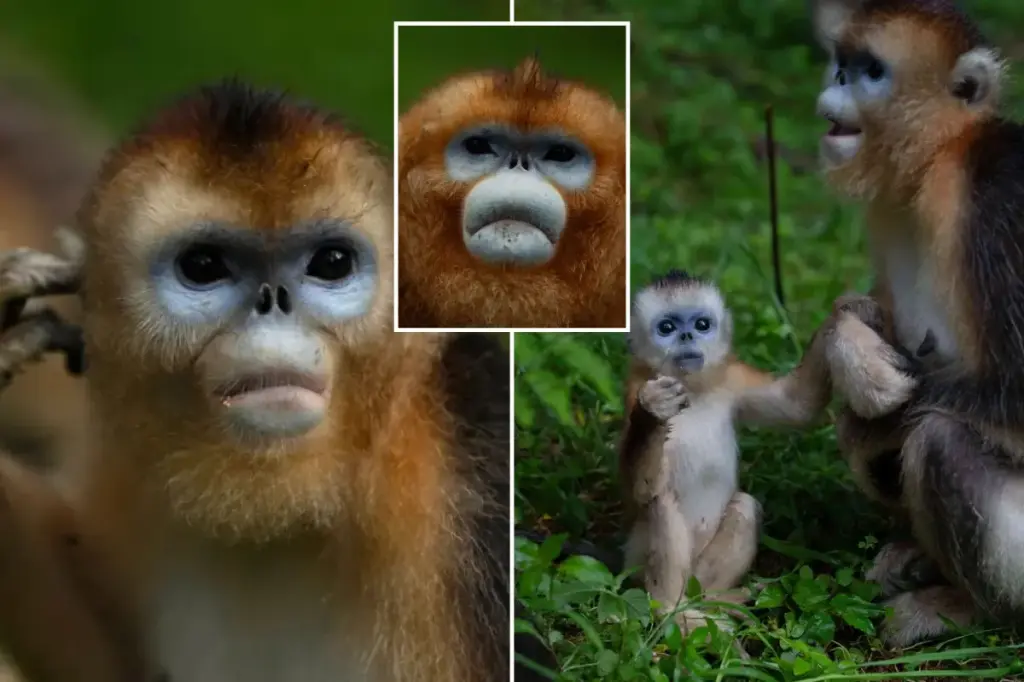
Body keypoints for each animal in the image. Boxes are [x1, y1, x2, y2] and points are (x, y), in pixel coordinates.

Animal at [618, 270, 835, 632]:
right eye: (667, 327)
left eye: (702, 324)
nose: (688, 335)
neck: (693, 390)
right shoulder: (635, 388)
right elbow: (640, 491)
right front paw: (655, 412)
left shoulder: (732, 377)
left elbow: (798, 406)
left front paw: (846, 318)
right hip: (635, 563)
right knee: (661, 504)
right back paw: (671, 612)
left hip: (697, 575)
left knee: (745, 506)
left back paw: (718, 602)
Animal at [809, 0, 1024, 647]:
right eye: (842, 61)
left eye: (872, 71)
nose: (836, 82)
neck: (941, 159)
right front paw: (852, 349)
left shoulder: (997, 196)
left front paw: (868, 420)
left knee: (938, 439)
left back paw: (962, 609)